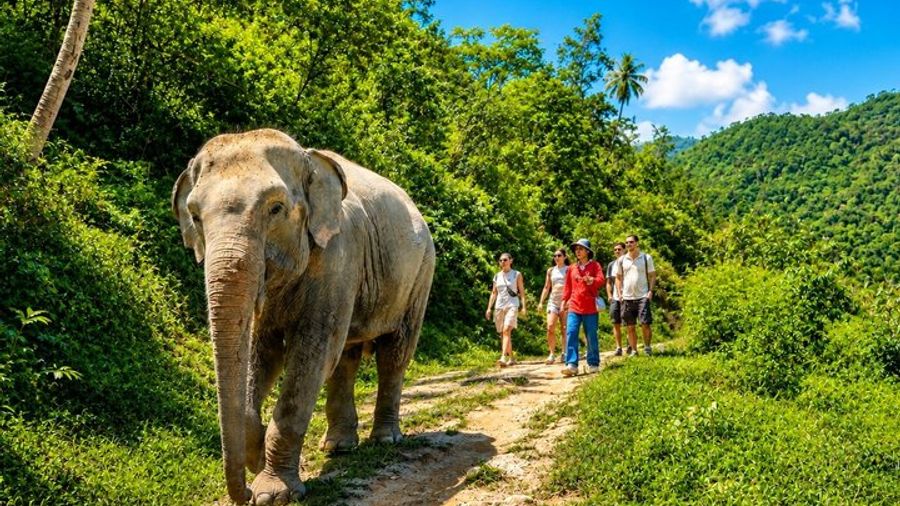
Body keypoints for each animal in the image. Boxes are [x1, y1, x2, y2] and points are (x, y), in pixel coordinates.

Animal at [171, 129, 435, 505]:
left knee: (393, 353)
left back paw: (385, 440)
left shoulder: (338, 255)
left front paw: (271, 494)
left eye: (276, 208)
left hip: (420, 274)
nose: (244, 492)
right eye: (194, 216)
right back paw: (339, 447)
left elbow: (311, 352)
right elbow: (262, 351)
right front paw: (255, 457)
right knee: (346, 358)